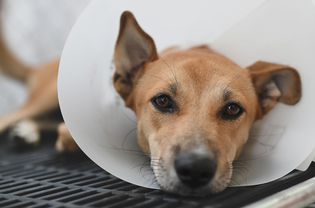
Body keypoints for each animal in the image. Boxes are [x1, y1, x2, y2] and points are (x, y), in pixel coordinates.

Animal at [0, 11, 304, 197]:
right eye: (162, 101)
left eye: (232, 109)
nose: (196, 170)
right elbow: (66, 134)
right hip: (46, 97)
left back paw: (27, 132)